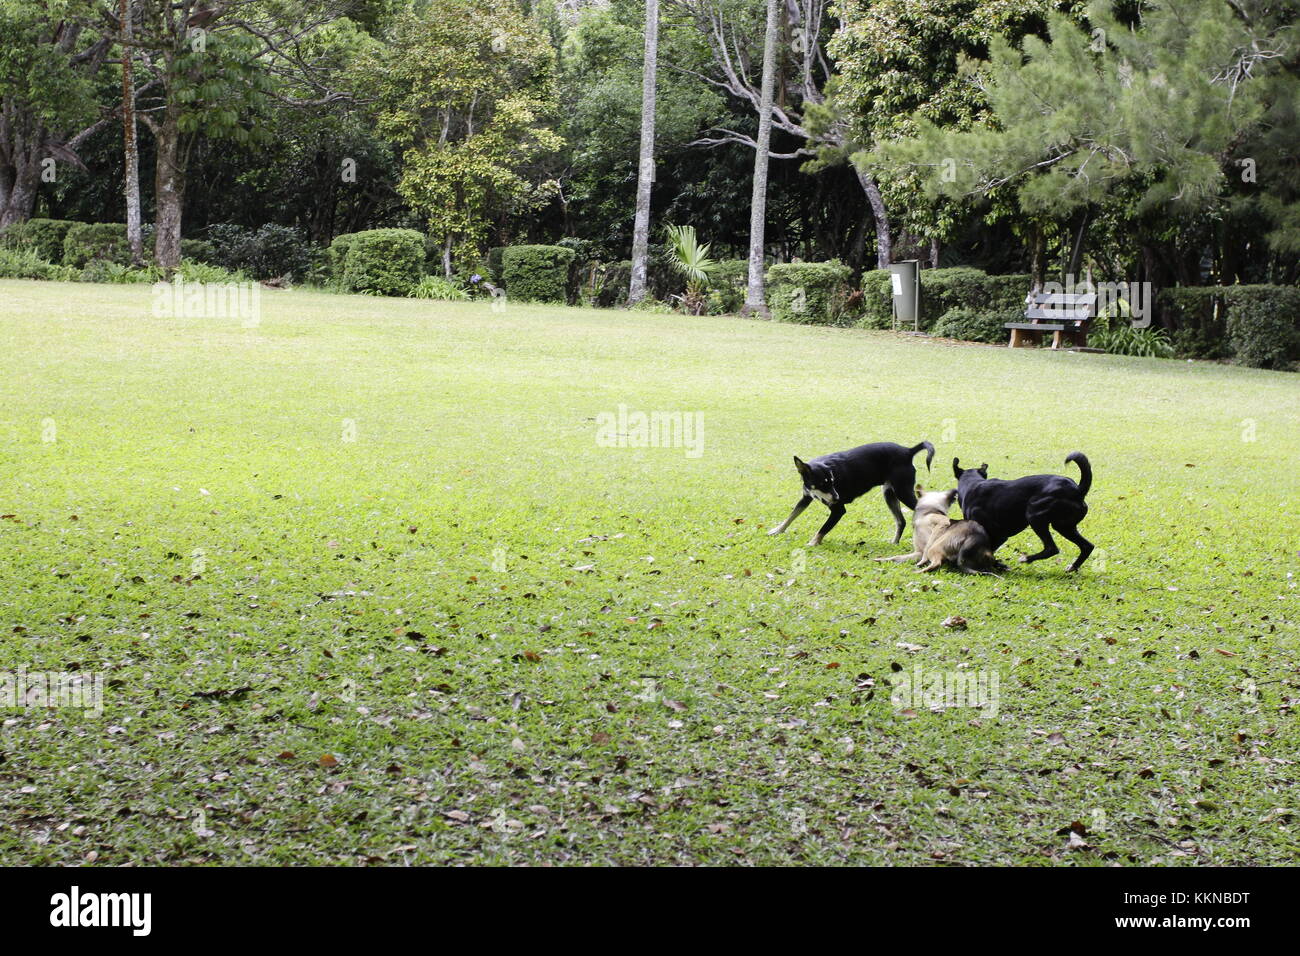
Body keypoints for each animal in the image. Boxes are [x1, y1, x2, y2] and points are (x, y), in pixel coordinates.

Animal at [764, 442, 941, 546]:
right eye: (823, 484)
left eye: (832, 482)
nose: (837, 497)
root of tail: (908, 451)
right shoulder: (806, 497)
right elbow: (791, 515)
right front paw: (778, 530)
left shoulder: (838, 510)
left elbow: (822, 529)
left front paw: (813, 543)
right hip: (889, 494)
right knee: (901, 521)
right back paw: (894, 542)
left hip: (902, 492)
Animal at [951, 452, 1092, 572]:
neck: (972, 484)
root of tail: (1077, 490)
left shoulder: (998, 534)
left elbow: (989, 550)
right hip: (1064, 526)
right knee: (1087, 546)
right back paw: (1073, 567)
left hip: (1035, 516)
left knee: (1051, 548)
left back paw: (1026, 558)